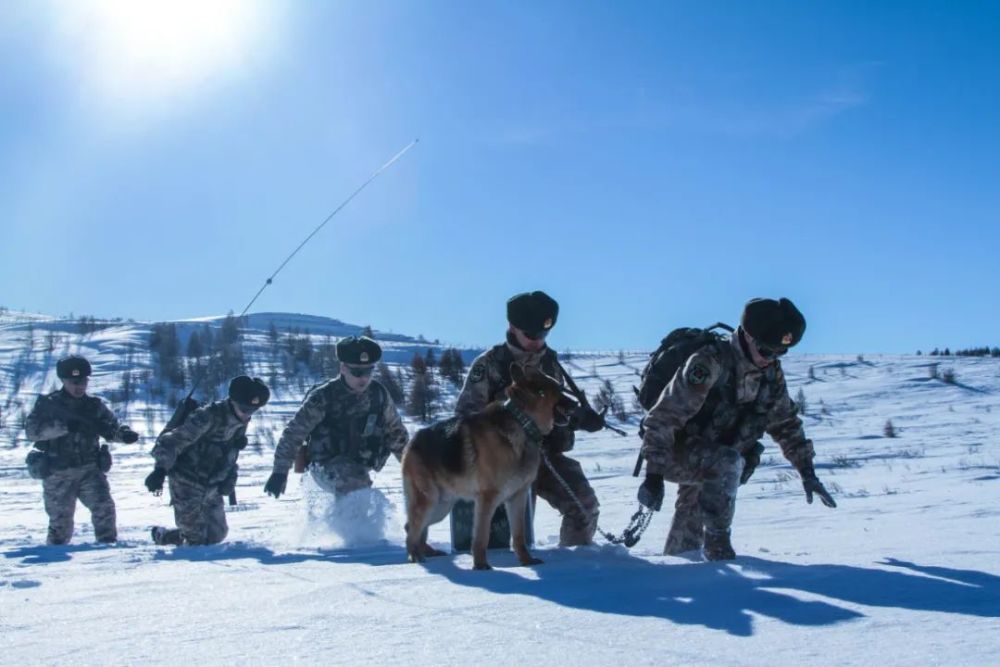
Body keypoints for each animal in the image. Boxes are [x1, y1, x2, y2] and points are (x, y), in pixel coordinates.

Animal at [398, 362, 572, 572]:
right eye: (559, 390)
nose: (576, 406)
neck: (522, 422)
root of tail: (411, 442)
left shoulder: (518, 497)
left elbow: (519, 534)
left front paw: (526, 561)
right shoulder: (487, 498)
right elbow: (481, 535)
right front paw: (480, 565)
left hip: (441, 506)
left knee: (412, 526)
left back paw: (426, 553)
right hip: (429, 501)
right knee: (413, 527)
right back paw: (415, 556)